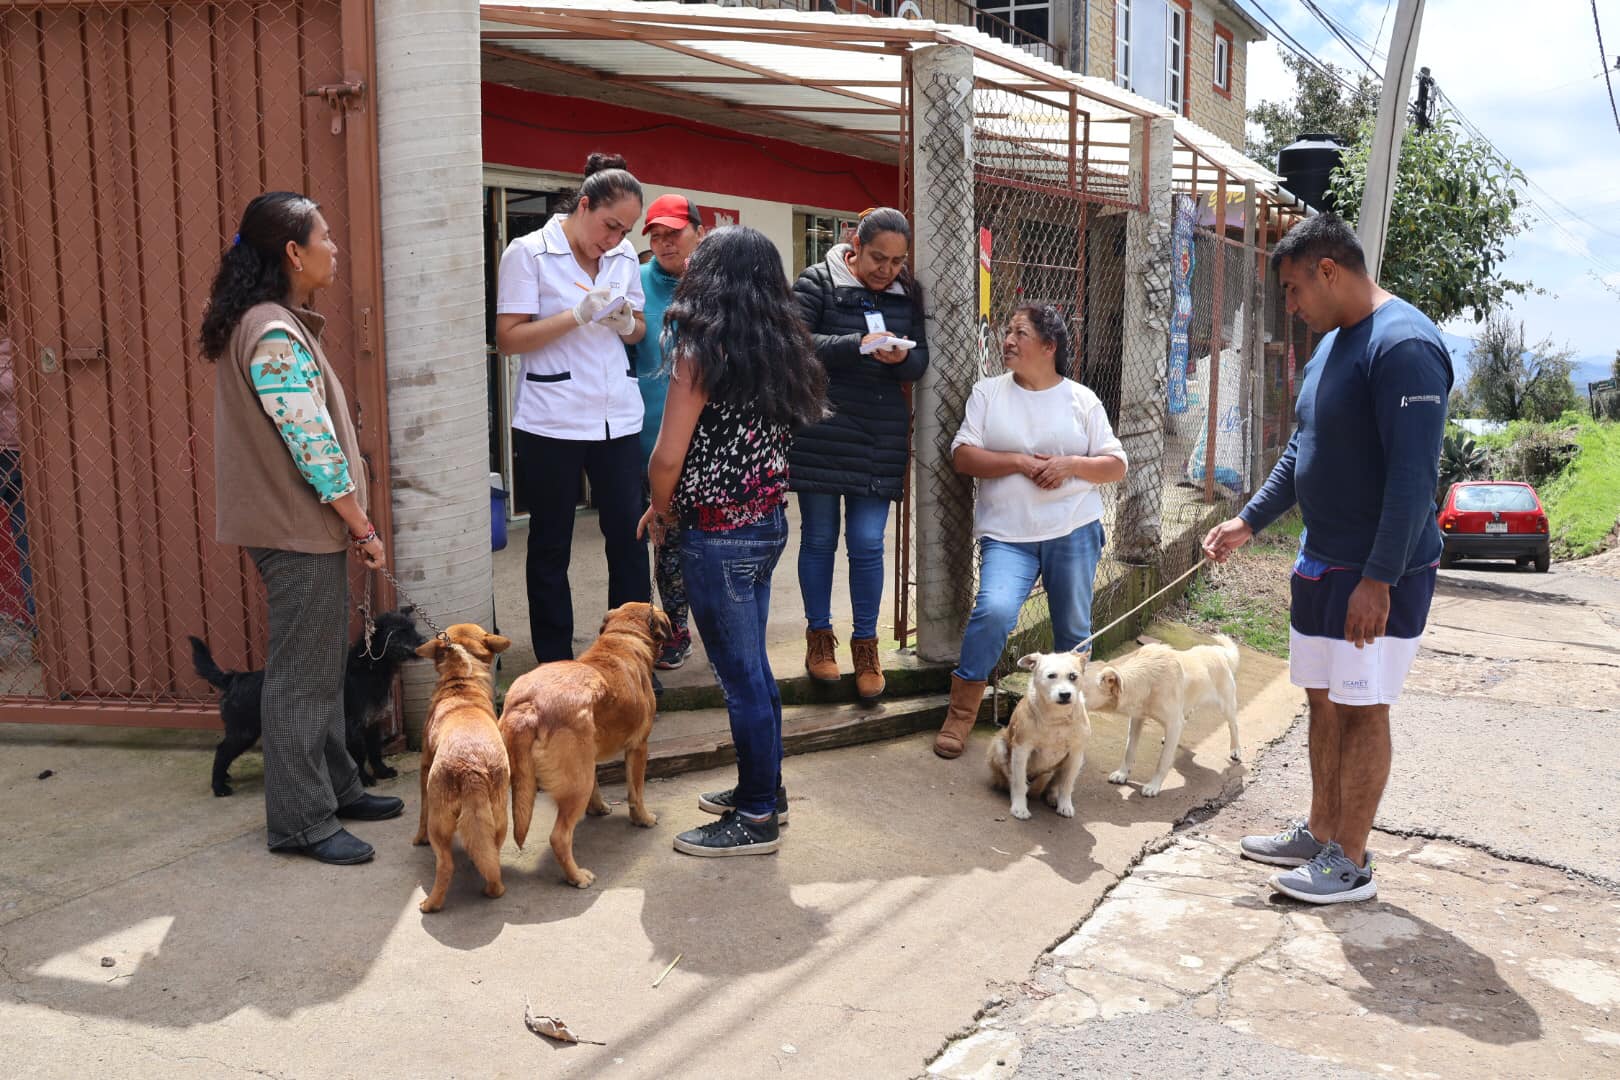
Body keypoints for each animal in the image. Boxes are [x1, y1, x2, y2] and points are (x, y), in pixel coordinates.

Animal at [187, 612, 430, 799]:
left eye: (412, 627)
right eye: (399, 631)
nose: (424, 642)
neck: (368, 668)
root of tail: (234, 679)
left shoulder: (372, 724)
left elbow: (375, 752)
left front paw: (382, 771)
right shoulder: (353, 728)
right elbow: (358, 756)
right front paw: (364, 778)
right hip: (243, 732)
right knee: (221, 751)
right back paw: (219, 786)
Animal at [408, 625, 508, 913]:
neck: (461, 684)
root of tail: (471, 768)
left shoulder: (424, 768)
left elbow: (421, 813)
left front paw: (418, 838)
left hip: (439, 823)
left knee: (445, 865)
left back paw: (431, 904)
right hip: (499, 818)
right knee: (492, 858)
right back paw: (493, 889)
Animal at [492, 599, 670, 887]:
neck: (623, 636)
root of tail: (529, 706)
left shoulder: (591, 756)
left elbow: (599, 786)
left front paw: (598, 808)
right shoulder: (638, 747)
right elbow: (636, 793)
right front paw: (642, 819)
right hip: (577, 783)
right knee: (559, 837)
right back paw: (576, 877)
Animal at [984, 650, 1088, 819]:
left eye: (1073, 676)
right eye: (1051, 675)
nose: (1065, 694)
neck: (1057, 718)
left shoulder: (1075, 755)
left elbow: (1067, 785)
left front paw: (1065, 805)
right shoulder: (1021, 749)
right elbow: (1019, 783)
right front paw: (1020, 807)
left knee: (1053, 785)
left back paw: (1053, 797)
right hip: (999, 746)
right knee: (1011, 780)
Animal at [1082, 628, 1244, 799]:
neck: (1148, 678)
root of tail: (1219, 652)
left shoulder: (1173, 723)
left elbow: (1163, 760)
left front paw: (1154, 786)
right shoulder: (1137, 719)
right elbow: (1129, 751)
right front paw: (1122, 774)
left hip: (1226, 706)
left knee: (1234, 725)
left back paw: (1235, 750)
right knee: (1186, 718)